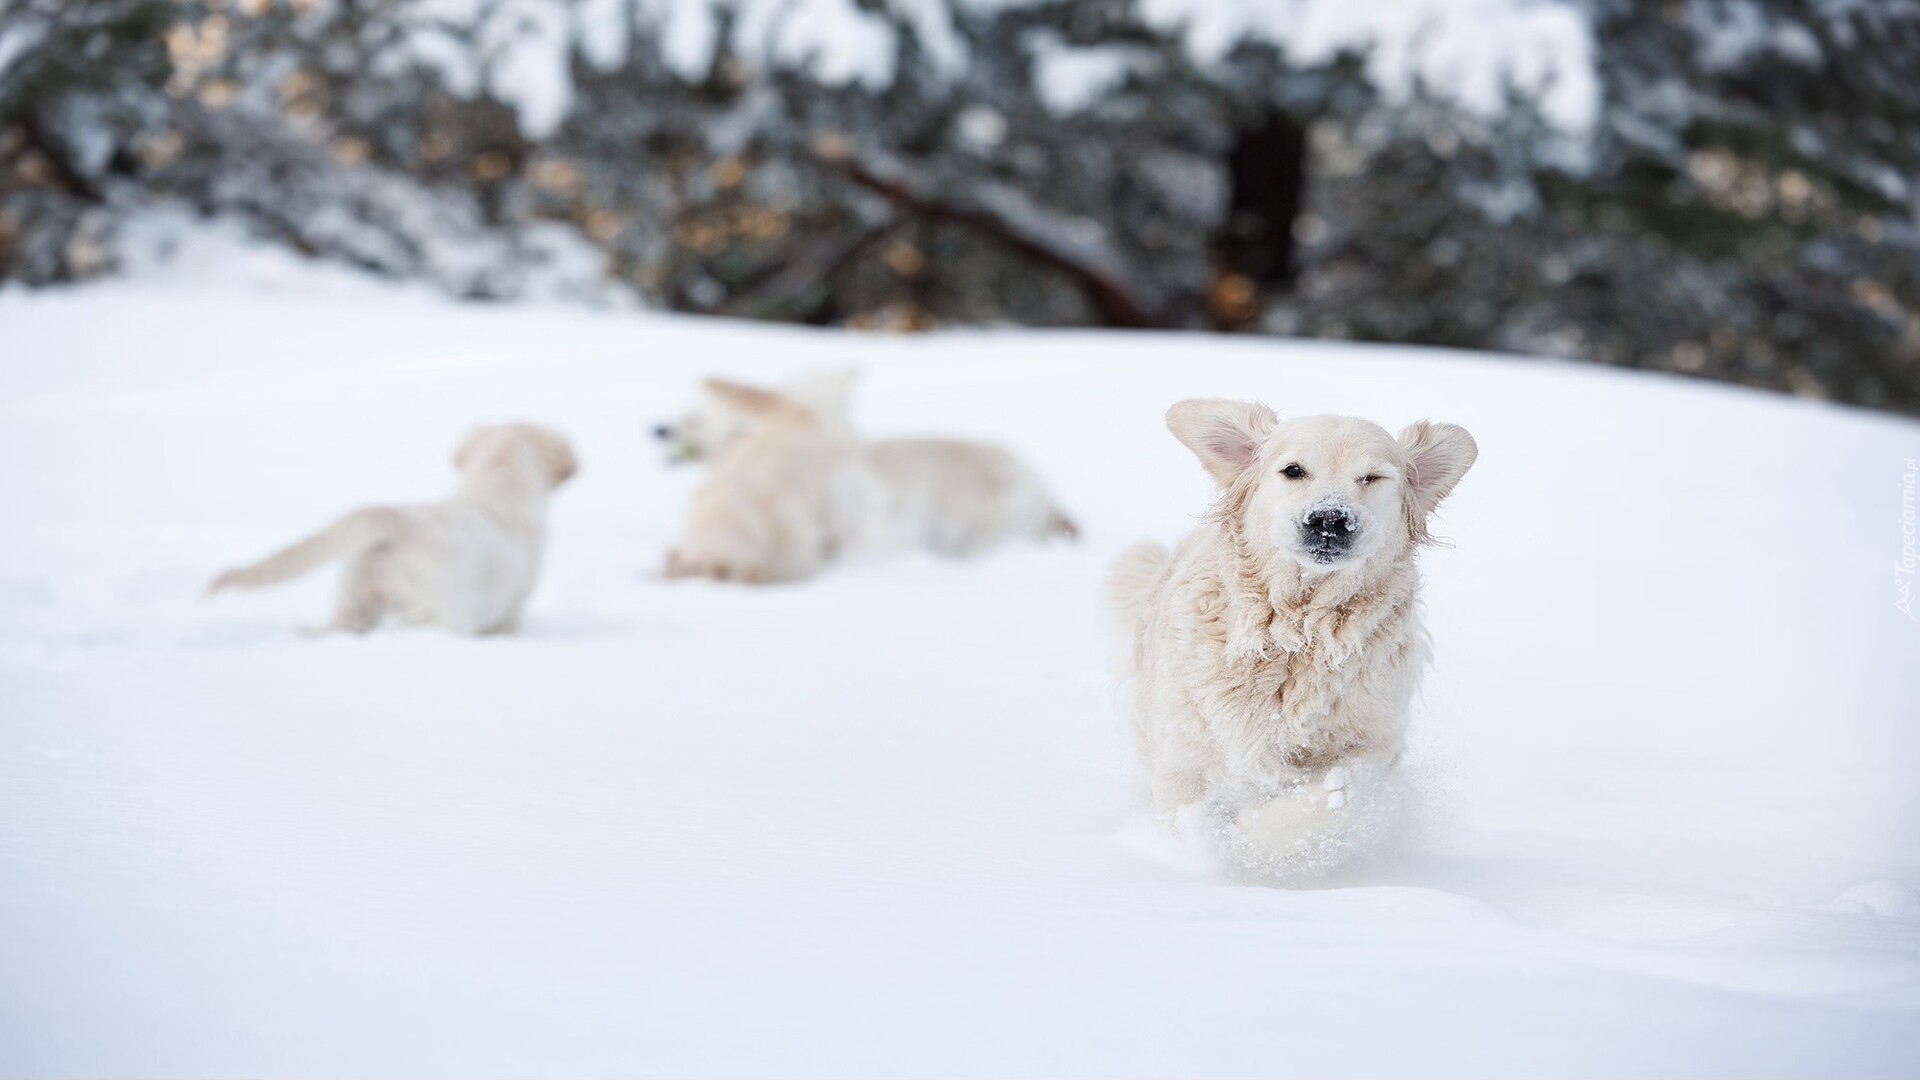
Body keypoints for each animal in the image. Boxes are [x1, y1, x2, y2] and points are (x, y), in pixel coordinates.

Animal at [1105, 399, 1474, 860]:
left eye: (1371, 478)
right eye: (1293, 471)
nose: (1329, 520)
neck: (1297, 630)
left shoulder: (1373, 742)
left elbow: (1327, 805)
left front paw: (1249, 839)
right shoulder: (1180, 743)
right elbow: (1183, 803)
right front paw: (1206, 839)